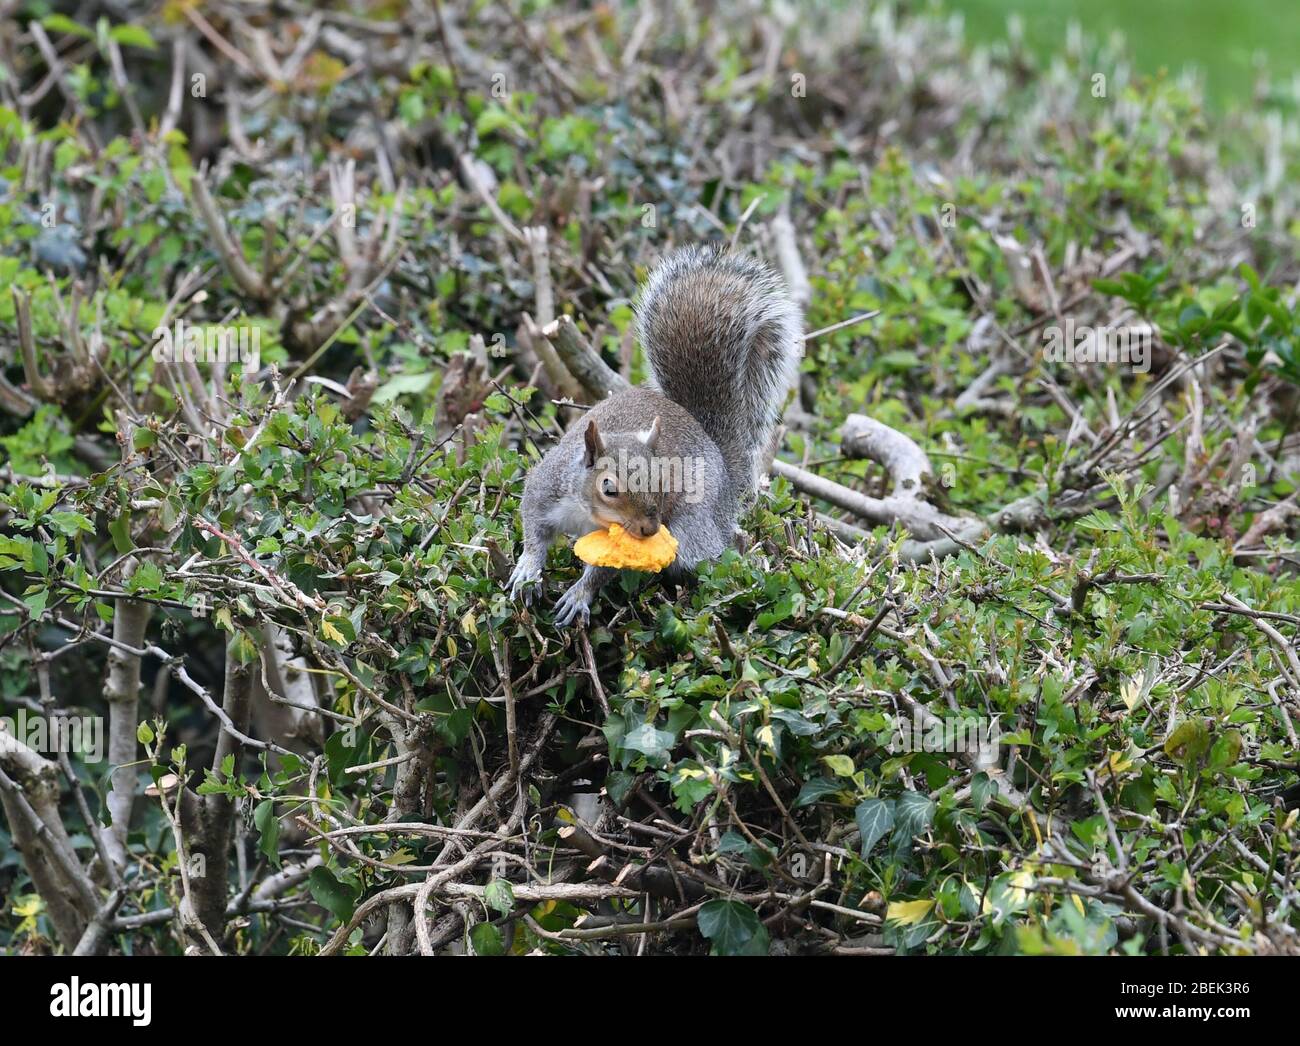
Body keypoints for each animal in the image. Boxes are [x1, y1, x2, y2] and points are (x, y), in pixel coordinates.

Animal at [508, 244, 802, 626]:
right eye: (609, 488)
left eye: (664, 481)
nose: (649, 529)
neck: (588, 515)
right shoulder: (547, 488)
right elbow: (532, 527)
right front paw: (528, 569)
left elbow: (603, 571)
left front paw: (579, 594)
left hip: (694, 525)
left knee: (714, 549)